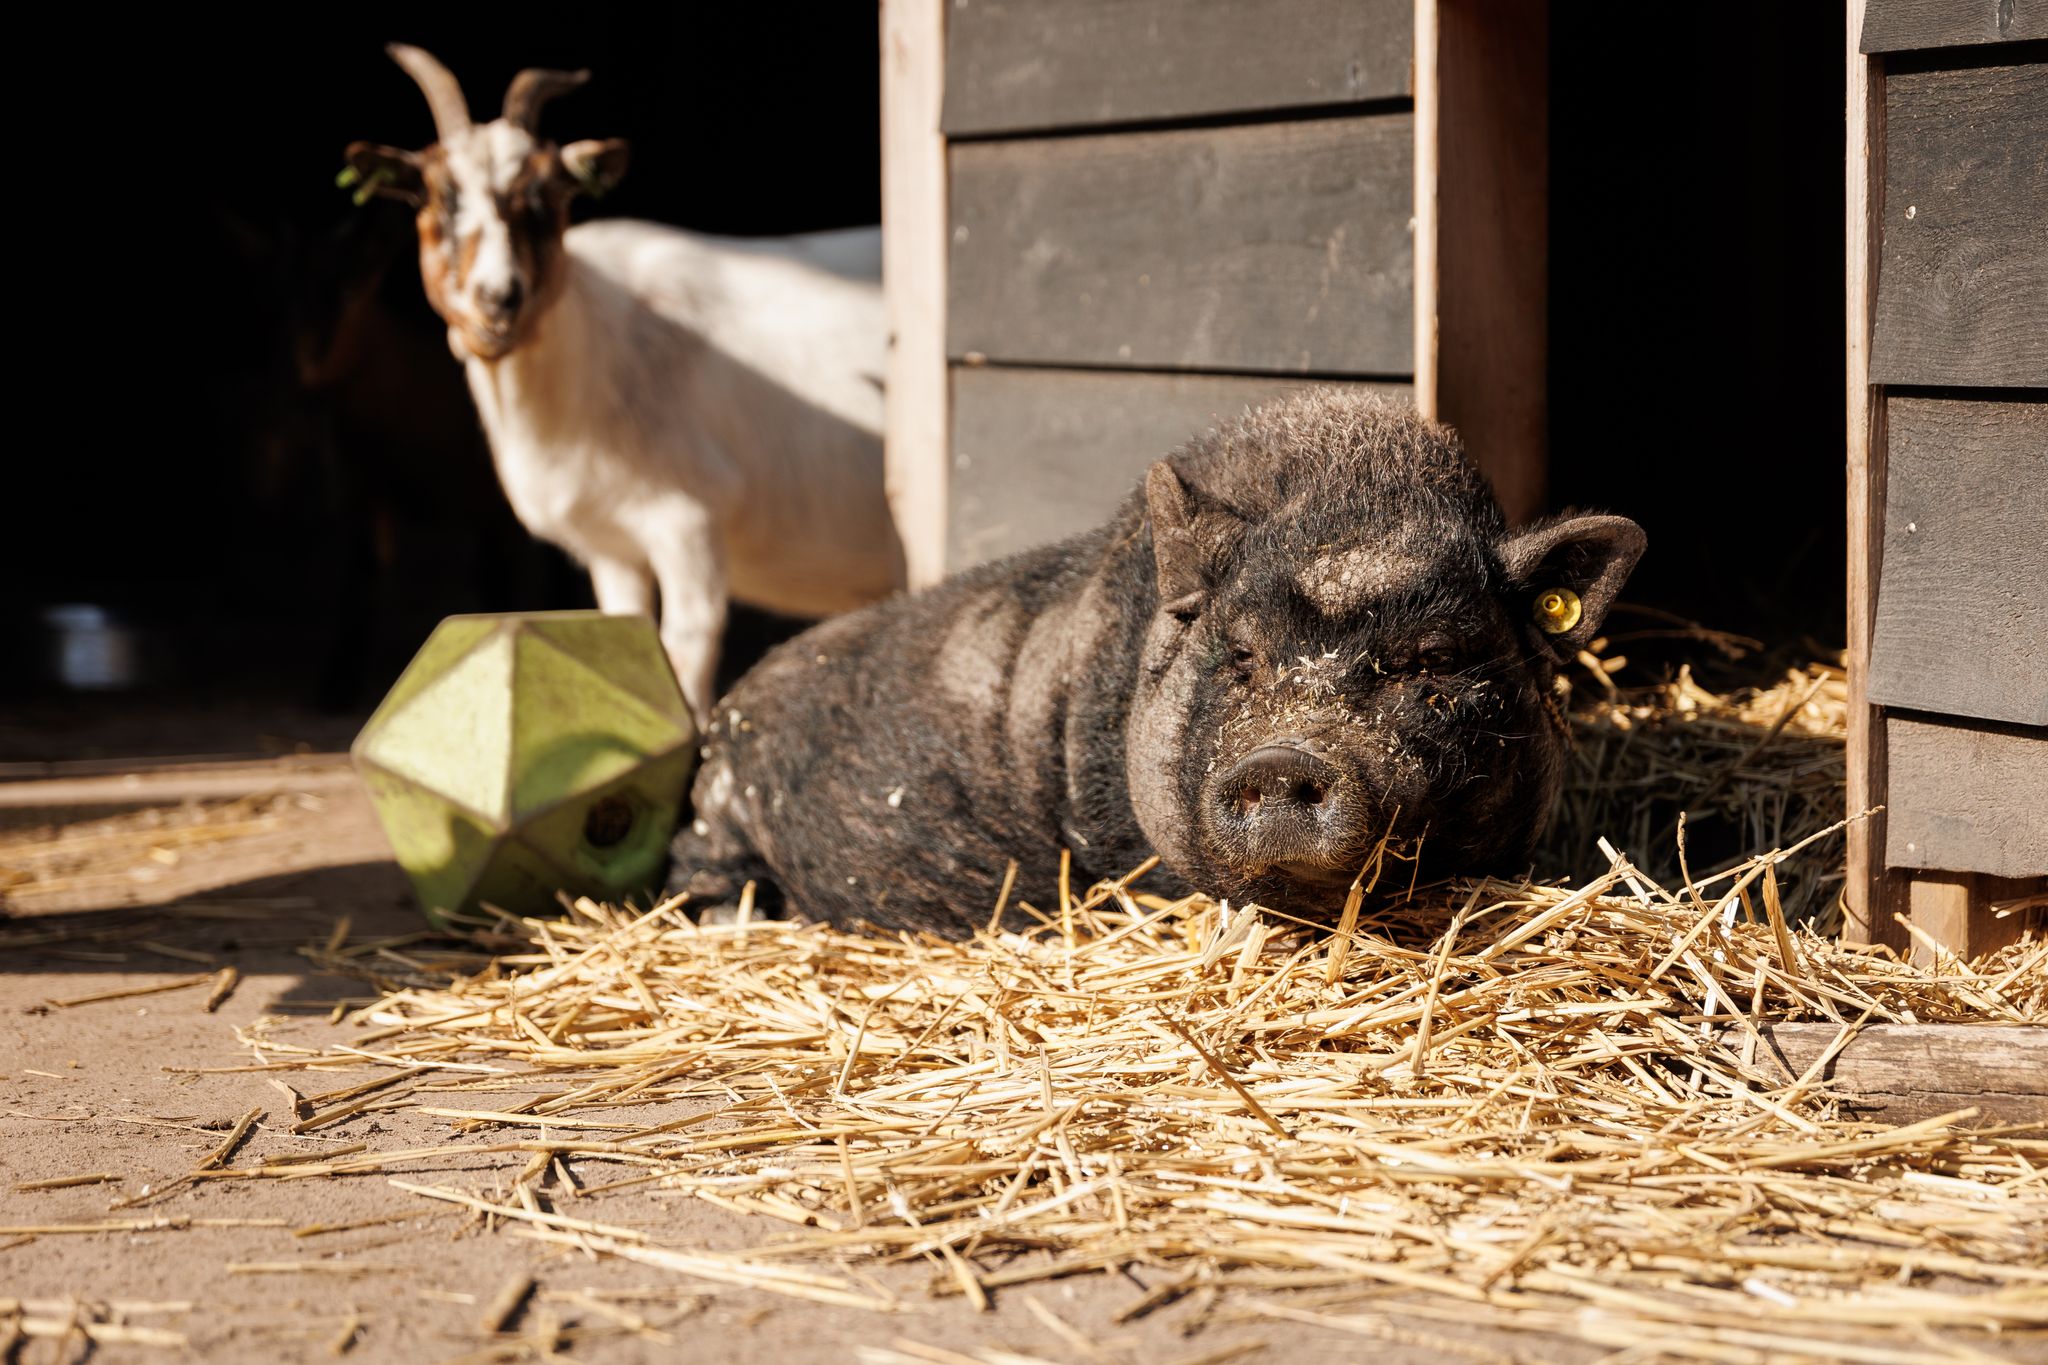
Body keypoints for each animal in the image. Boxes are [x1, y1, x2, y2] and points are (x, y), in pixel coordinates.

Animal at [346, 48, 905, 720]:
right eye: (436, 194)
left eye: (548, 195)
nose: (498, 299)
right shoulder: (610, 545)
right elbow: (628, 638)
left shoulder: (690, 522)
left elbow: (684, 656)